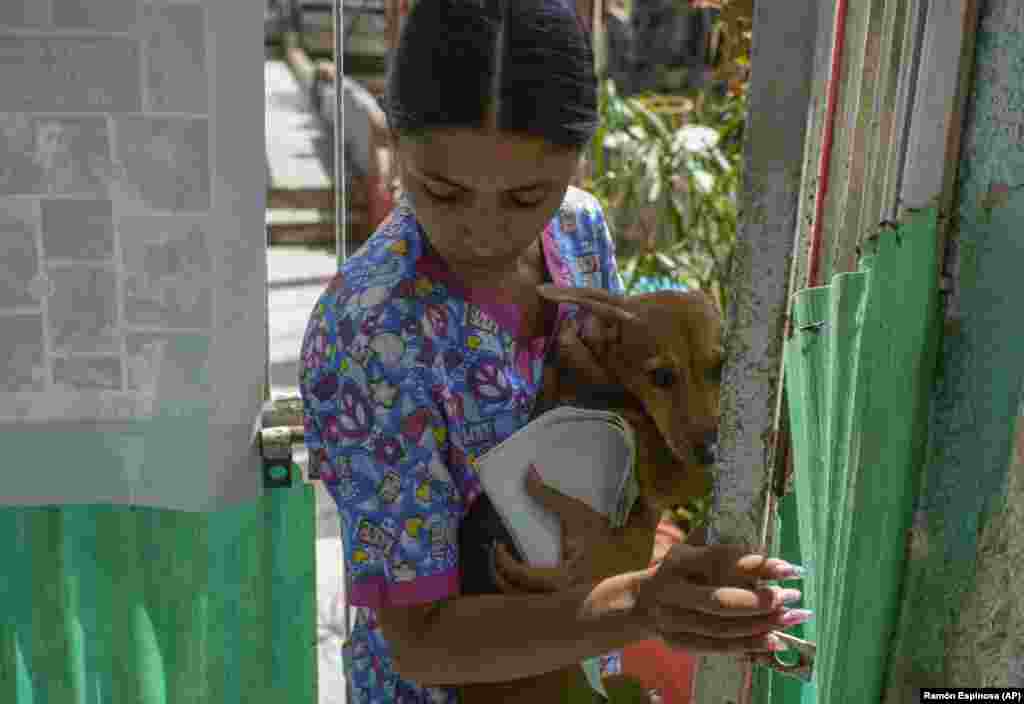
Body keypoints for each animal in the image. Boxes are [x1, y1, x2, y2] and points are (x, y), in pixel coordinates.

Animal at [460, 282, 724, 699]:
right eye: (662, 377)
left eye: (720, 368)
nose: (712, 450)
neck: (603, 366)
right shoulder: (666, 470)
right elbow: (683, 472)